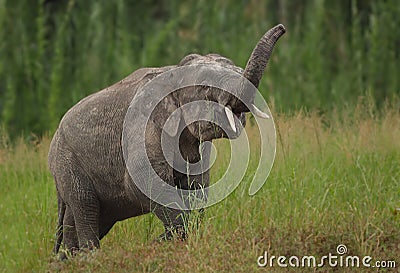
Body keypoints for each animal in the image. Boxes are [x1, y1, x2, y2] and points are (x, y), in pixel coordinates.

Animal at [49, 23, 284, 258]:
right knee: (85, 205)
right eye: (205, 88)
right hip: (67, 161)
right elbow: (142, 180)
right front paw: (163, 240)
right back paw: (89, 257)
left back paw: (67, 258)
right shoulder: (142, 122)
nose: (281, 28)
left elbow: (196, 185)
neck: (172, 73)